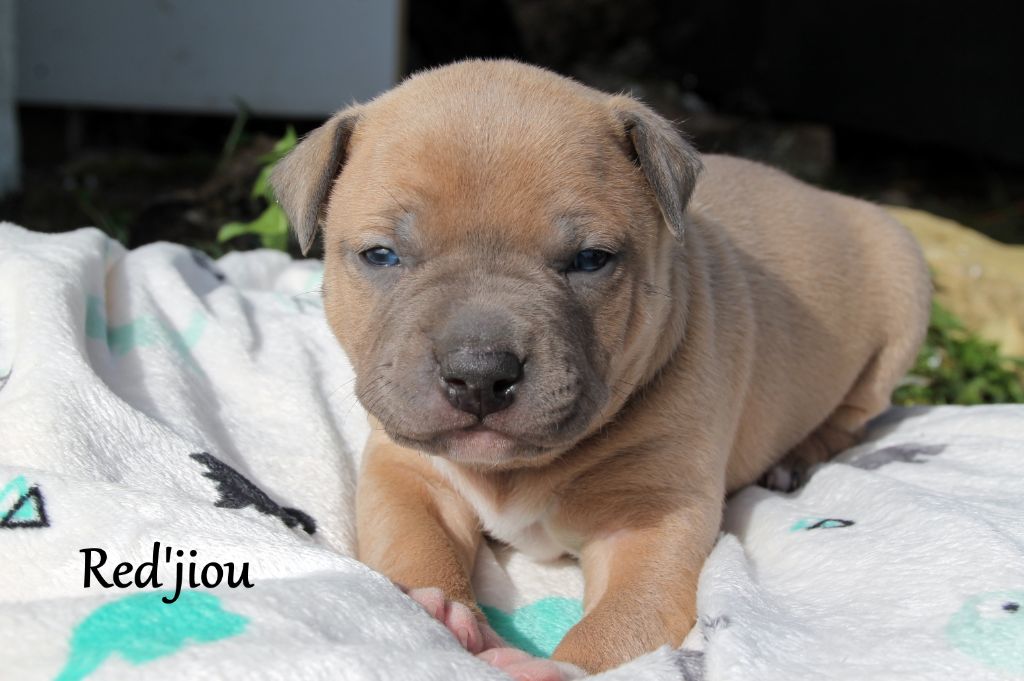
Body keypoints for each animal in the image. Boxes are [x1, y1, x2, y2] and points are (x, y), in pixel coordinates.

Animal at [270, 59, 930, 676]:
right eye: (381, 255)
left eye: (591, 260)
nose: (479, 374)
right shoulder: (407, 473)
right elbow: (415, 545)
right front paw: (436, 612)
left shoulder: (650, 523)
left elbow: (620, 620)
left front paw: (544, 667)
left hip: (904, 291)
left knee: (857, 411)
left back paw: (797, 458)